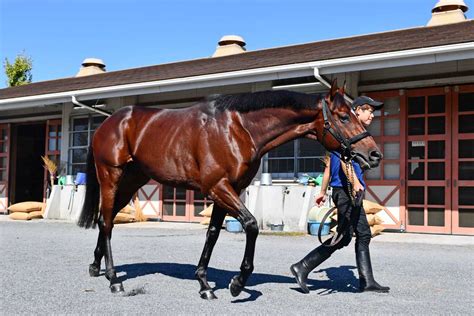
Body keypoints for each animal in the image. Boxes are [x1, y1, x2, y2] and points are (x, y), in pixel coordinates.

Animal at [77, 81, 382, 298]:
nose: (374, 154)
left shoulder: (227, 189)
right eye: (343, 117)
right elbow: (251, 225)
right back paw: (114, 280)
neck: (239, 130)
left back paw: (96, 267)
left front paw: (204, 283)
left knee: (106, 219)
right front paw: (237, 282)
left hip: (132, 181)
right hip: (111, 177)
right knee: (106, 222)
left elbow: (212, 233)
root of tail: (109, 122)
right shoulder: (219, 187)